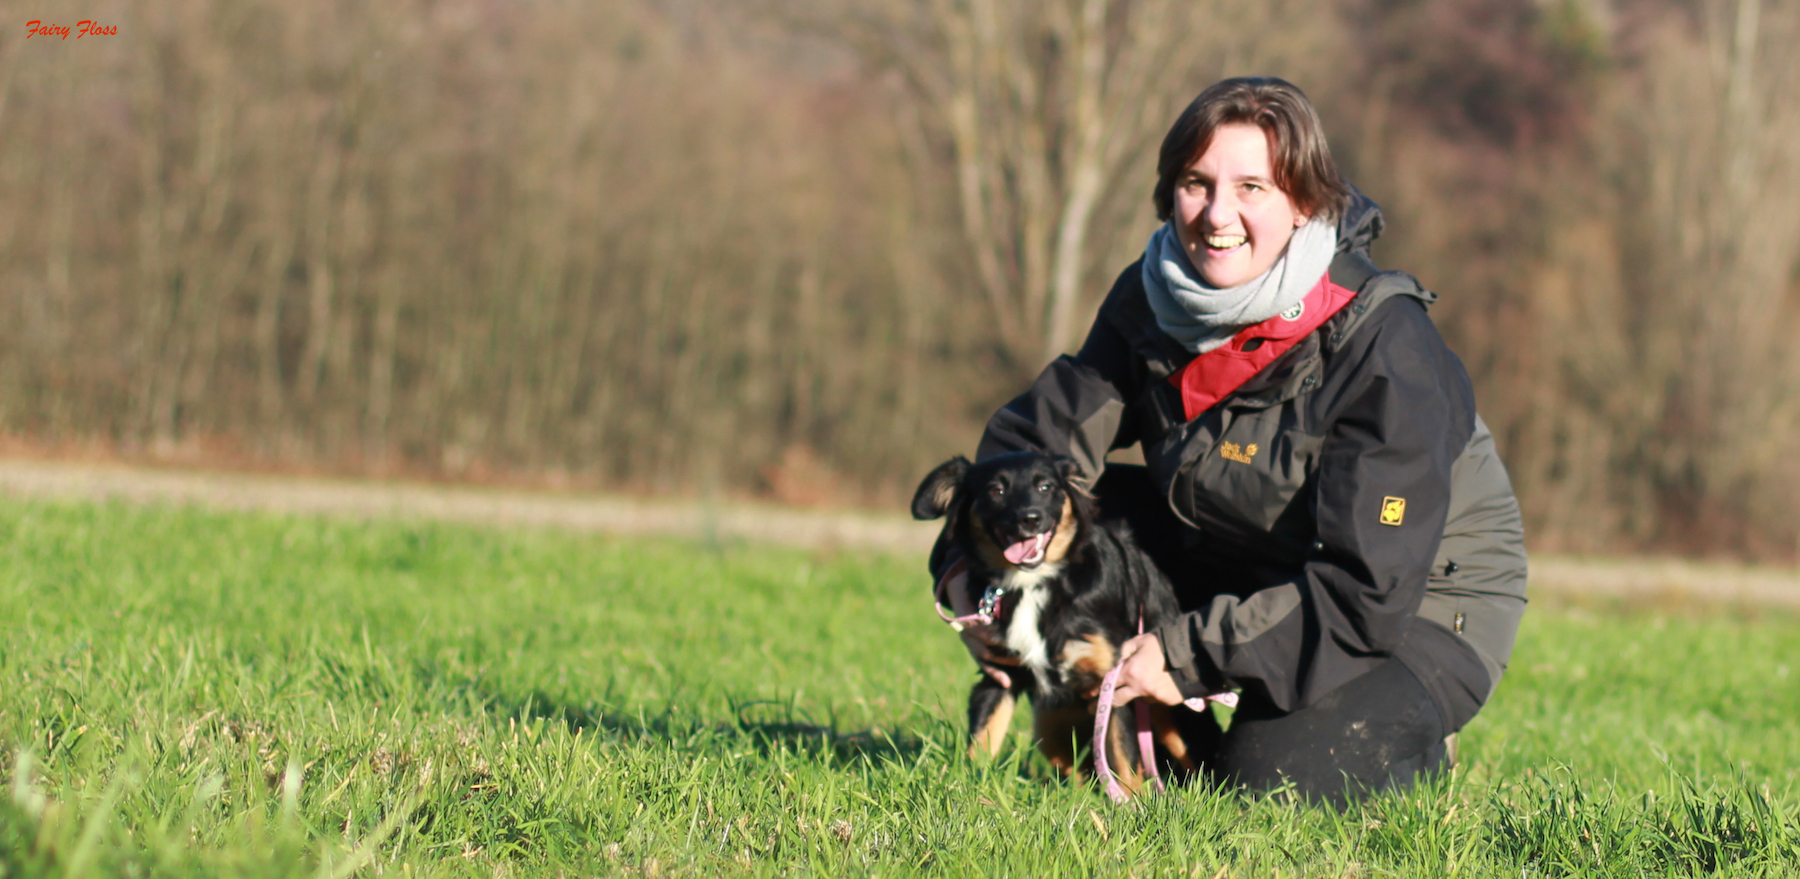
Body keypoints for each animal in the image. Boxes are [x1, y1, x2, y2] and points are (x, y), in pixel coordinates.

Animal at [914, 453, 1195, 788]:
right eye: (996, 490)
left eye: (1045, 486)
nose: (1030, 518)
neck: (1034, 582)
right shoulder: (1000, 674)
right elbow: (982, 740)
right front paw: (967, 786)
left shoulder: (1116, 681)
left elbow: (1125, 760)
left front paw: (1133, 800)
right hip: (1052, 727)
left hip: (1169, 706)